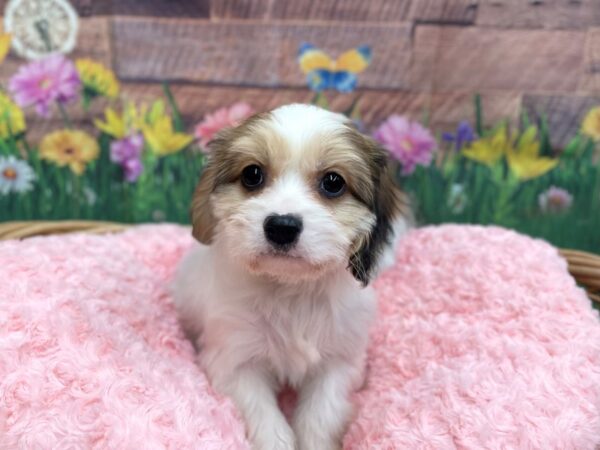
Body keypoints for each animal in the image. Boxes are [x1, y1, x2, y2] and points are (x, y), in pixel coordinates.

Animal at [173, 103, 408, 448]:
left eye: (333, 182)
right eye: (252, 174)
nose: (282, 226)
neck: (291, 290)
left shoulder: (339, 361)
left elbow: (320, 416)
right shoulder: (235, 360)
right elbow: (265, 418)